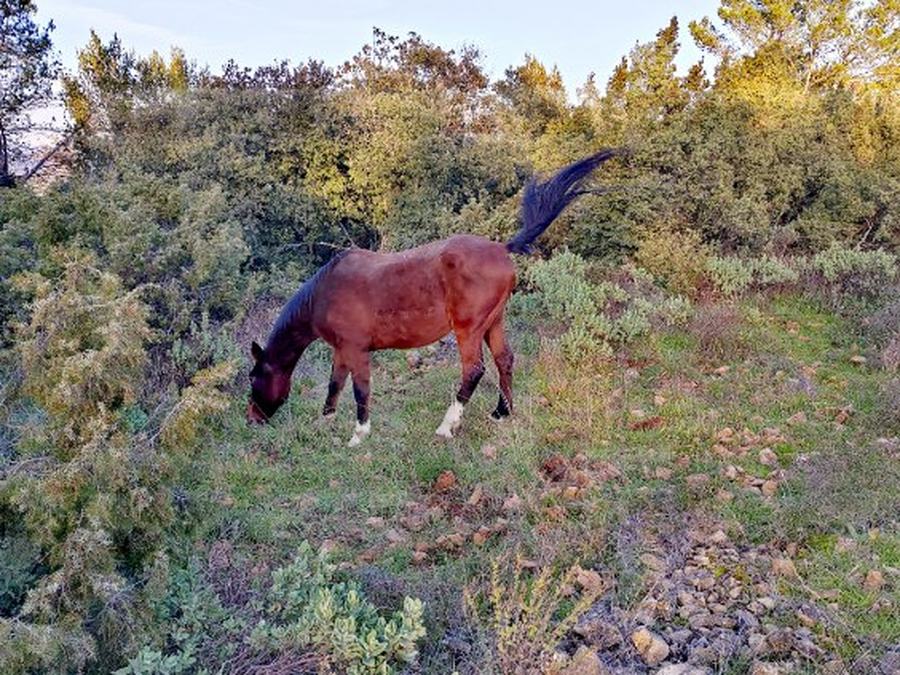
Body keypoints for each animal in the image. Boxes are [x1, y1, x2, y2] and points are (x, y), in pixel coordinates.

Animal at [246, 149, 620, 446]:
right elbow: (334, 384)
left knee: (474, 370)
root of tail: (502, 248)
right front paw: (325, 421)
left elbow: (360, 390)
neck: (326, 291)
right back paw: (502, 412)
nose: (252, 419)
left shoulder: (356, 351)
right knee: (505, 360)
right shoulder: (342, 351)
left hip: (469, 330)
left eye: (253, 377)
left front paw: (358, 434)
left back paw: (446, 426)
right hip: (494, 323)